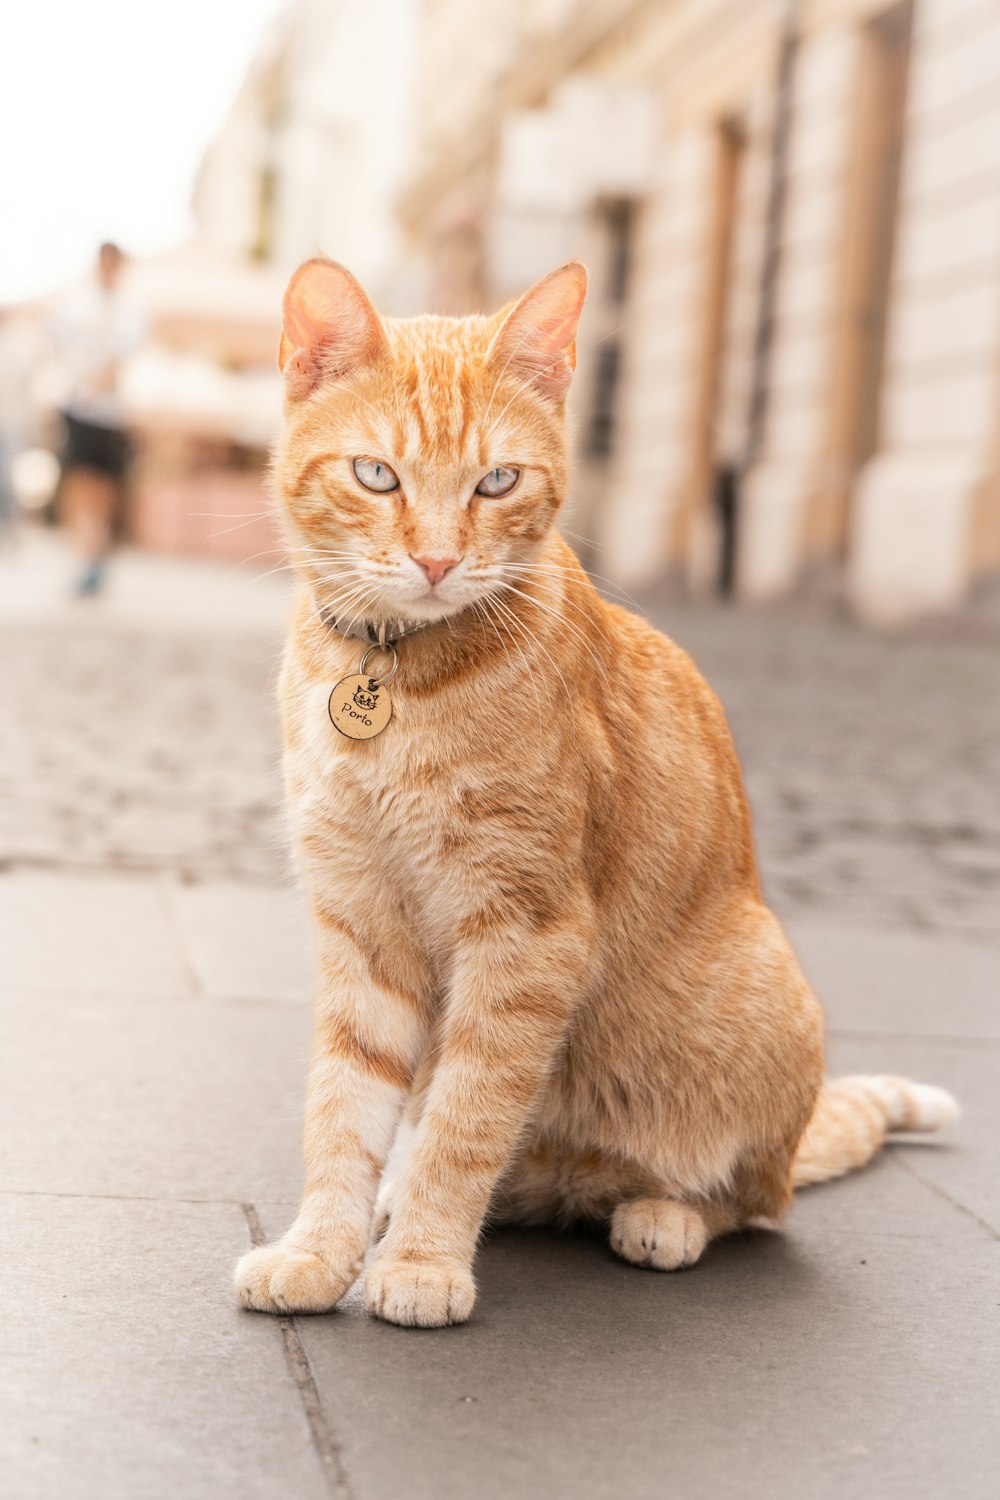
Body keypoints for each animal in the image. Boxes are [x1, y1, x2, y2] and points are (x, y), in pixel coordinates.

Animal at [232, 255, 953, 1326]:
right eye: (376, 475)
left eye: (497, 481)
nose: (437, 560)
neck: (396, 676)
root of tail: (578, 1177)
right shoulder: (362, 927)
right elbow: (344, 1108)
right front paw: (321, 1248)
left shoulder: (529, 932)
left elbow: (468, 1118)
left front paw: (425, 1262)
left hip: (769, 1014)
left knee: (753, 1202)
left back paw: (663, 1214)